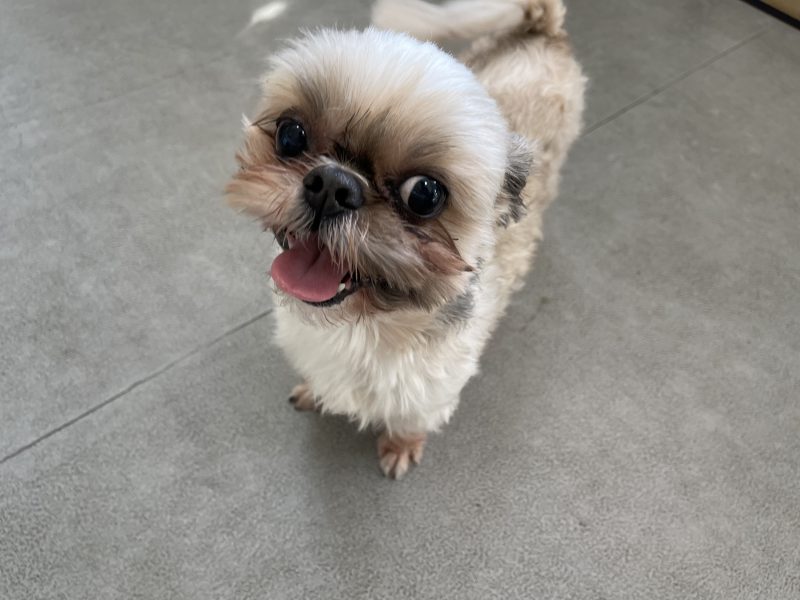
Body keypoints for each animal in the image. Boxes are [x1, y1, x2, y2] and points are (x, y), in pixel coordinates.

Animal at [226, 0, 585, 479]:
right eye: (290, 134)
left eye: (424, 194)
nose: (332, 184)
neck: (361, 328)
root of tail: (541, 27)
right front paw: (313, 391)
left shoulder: (431, 393)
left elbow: (409, 422)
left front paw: (399, 448)